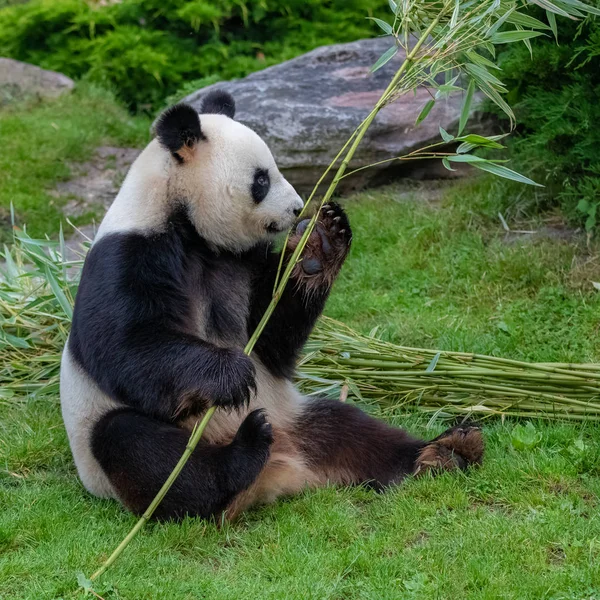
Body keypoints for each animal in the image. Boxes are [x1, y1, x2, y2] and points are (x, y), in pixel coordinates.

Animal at [61, 89, 482, 520]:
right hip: (113, 447)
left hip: (296, 415)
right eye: (261, 180)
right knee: (139, 449)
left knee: (351, 429)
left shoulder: (242, 261)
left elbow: (272, 337)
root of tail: (278, 470)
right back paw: (239, 458)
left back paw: (444, 451)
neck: (189, 227)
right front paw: (229, 373)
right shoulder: (129, 253)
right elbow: (123, 343)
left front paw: (323, 241)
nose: (297, 208)